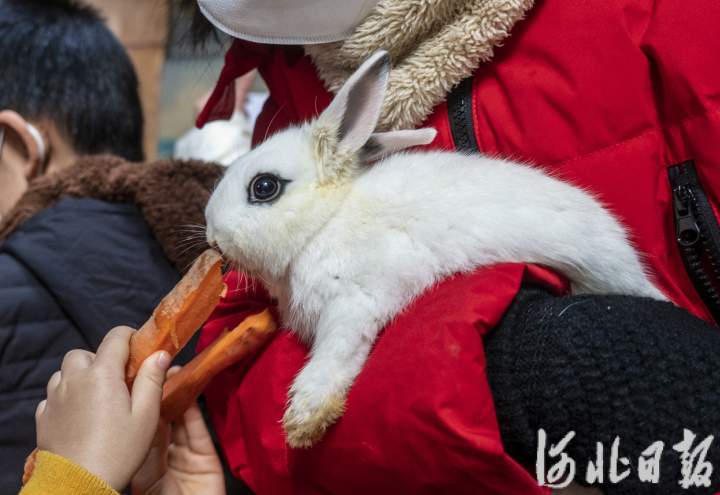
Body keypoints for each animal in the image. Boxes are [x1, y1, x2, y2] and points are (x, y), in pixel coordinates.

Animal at [205, 50, 668, 450]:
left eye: (265, 187)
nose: (211, 237)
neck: (324, 222)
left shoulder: (354, 302)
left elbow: (336, 355)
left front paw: (304, 421)